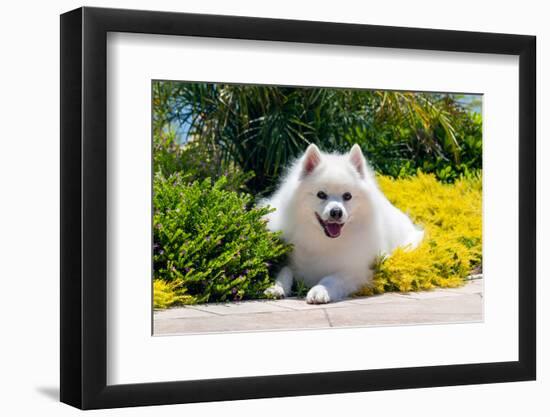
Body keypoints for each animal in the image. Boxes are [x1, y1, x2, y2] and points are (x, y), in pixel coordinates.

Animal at [260, 143, 424, 302]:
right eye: (321, 194)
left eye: (347, 196)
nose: (336, 212)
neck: (324, 240)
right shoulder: (290, 261)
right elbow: (284, 271)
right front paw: (276, 287)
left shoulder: (355, 270)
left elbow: (331, 279)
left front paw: (320, 290)